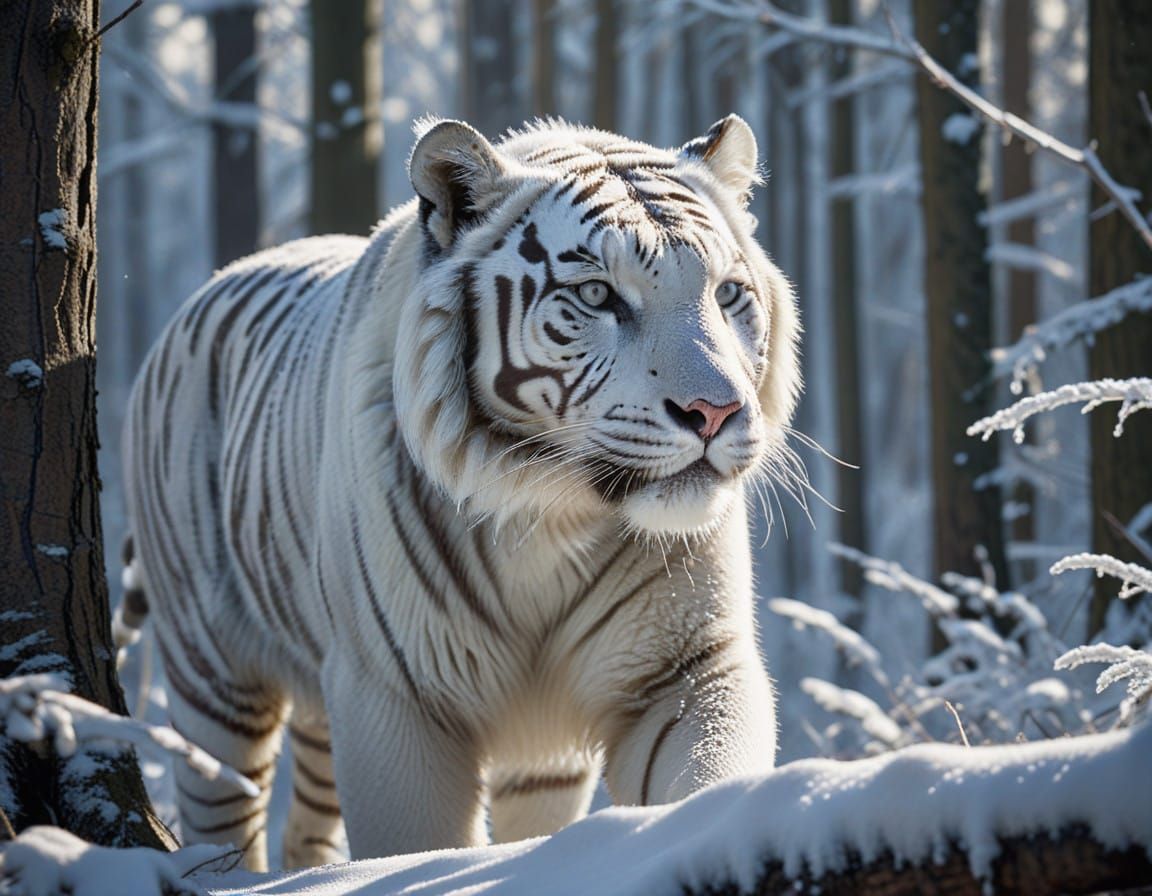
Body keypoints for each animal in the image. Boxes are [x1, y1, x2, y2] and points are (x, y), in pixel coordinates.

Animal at [120, 114, 800, 870]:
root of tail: (206, 289)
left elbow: (704, 778)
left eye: (726, 293)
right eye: (597, 296)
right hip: (211, 678)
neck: (550, 518)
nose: (714, 412)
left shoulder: (684, 670)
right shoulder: (394, 696)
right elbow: (413, 848)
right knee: (221, 818)